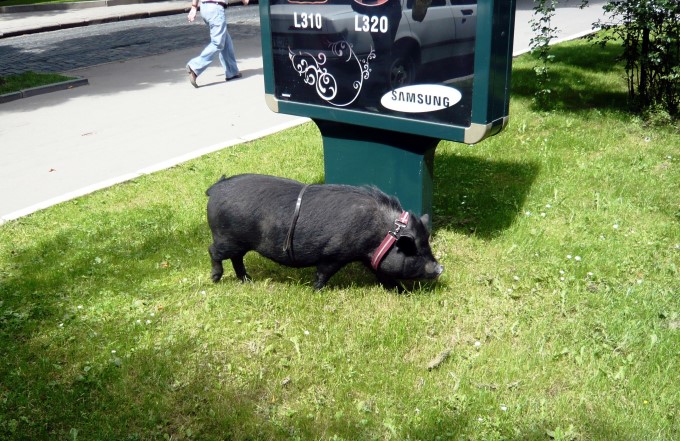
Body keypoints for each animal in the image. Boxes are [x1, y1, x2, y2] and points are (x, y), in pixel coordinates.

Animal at [205, 174, 444, 290]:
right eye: (413, 250)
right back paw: (215, 279)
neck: (382, 235)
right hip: (227, 238)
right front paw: (316, 290)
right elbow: (323, 273)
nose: (440, 268)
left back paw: (247, 280)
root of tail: (216, 188)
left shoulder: (369, 259)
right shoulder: (333, 253)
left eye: (427, 246)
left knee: (236, 259)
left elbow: (383, 275)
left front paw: (400, 290)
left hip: (237, 243)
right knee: (213, 251)